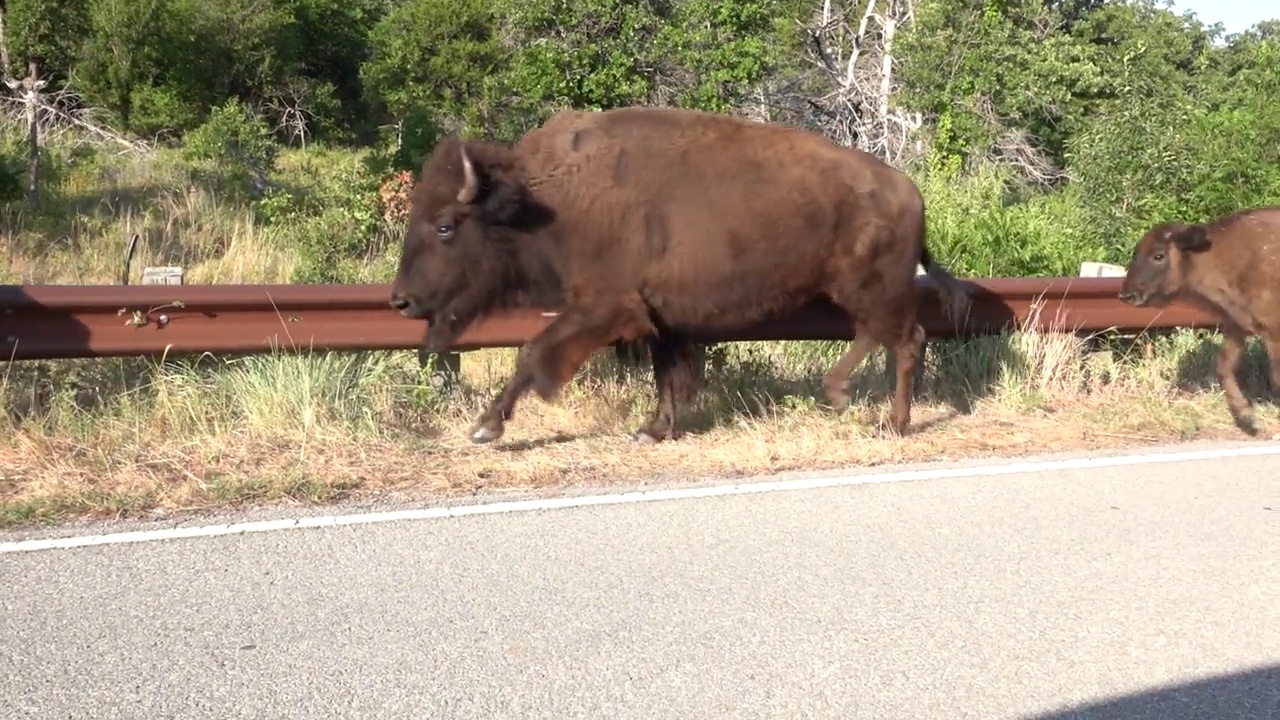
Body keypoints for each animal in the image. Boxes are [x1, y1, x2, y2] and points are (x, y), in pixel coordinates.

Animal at [389, 106, 967, 443]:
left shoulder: (604, 306)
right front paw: (653, 430)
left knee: (906, 340)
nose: (400, 301)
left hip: (873, 289)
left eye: (445, 225)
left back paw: (889, 422)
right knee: (882, 337)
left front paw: (485, 428)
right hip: (856, 291)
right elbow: (664, 374)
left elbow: (533, 354)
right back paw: (844, 393)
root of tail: (909, 191)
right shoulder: (659, 317)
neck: (547, 199)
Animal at [1121, 204, 1280, 435]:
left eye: (1159, 255)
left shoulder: (1273, 332)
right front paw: (1247, 419)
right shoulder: (1237, 326)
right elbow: (1224, 367)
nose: (1127, 295)